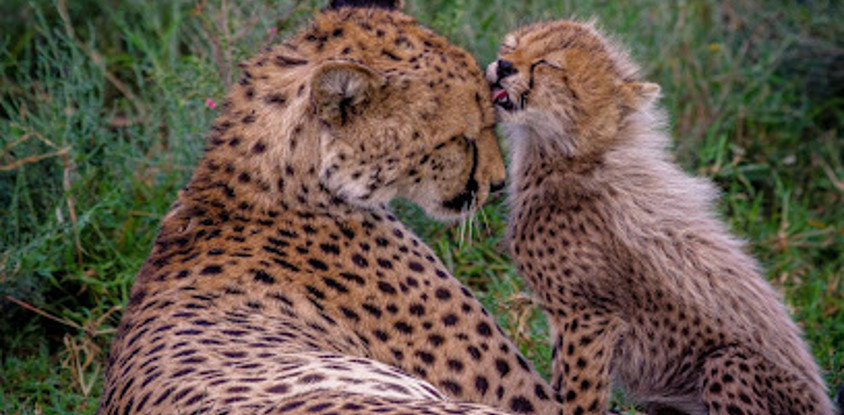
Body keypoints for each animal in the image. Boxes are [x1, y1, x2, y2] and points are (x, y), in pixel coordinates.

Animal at [486, 19, 837, 415]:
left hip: (727, 362)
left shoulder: (588, 315)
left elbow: (580, 392)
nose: (503, 65)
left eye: (548, 64)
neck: (572, 158)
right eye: (511, 45)